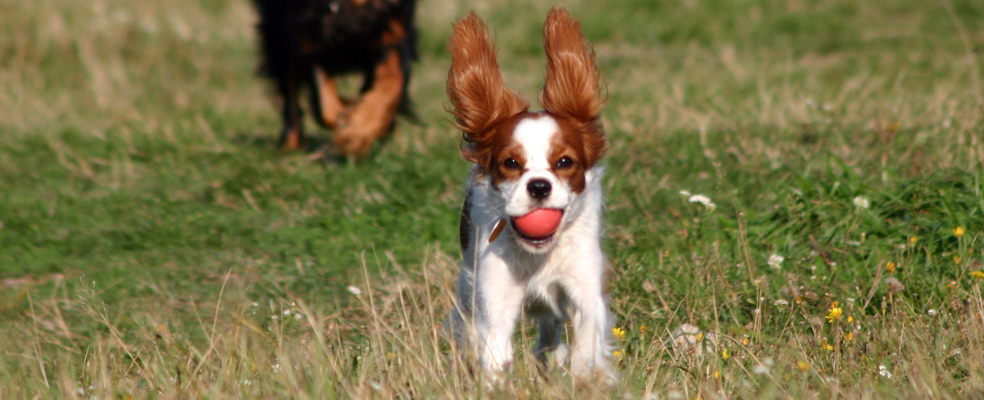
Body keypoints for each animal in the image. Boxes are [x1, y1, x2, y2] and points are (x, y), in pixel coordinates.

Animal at [252, 0, 418, 156]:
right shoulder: (308, 36)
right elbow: (326, 107)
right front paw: (351, 125)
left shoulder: (393, 28)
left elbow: (391, 86)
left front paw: (360, 131)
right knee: (291, 96)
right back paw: (291, 145)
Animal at [448, 7, 616, 382]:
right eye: (511, 163)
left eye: (565, 162)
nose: (539, 185)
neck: (539, 255)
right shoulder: (495, 293)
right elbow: (495, 348)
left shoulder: (583, 280)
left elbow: (588, 330)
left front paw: (583, 374)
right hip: (468, 280)